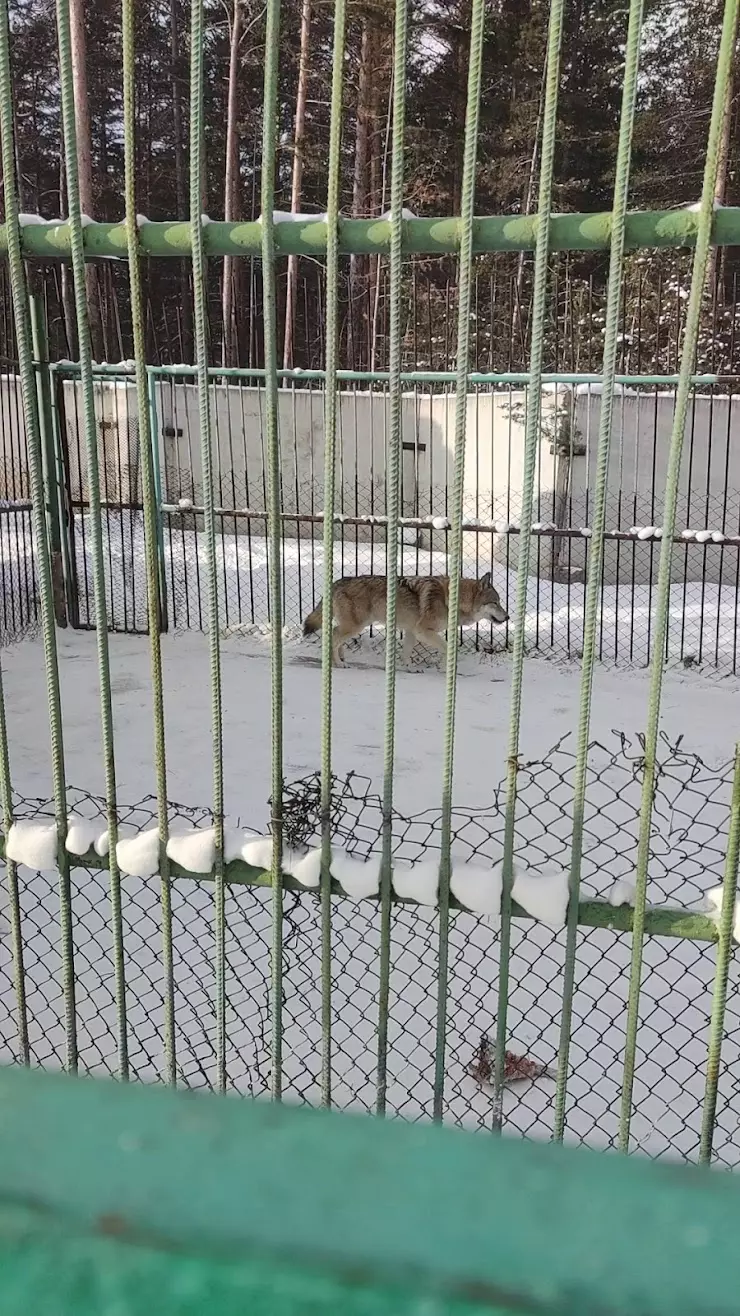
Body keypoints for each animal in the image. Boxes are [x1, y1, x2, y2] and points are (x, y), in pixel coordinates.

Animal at [300, 573, 505, 668]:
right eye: (495, 602)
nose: (508, 616)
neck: (452, 600)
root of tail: (338, 581)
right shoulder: (423, 631)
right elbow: (447, 648)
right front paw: (444, 666)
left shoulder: (412, 631)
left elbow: (407, 652)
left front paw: (410, 668)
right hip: (355, 626)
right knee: (333, 636)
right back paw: (338, 663)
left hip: (353, 626)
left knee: (335, 636)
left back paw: (340, 658)